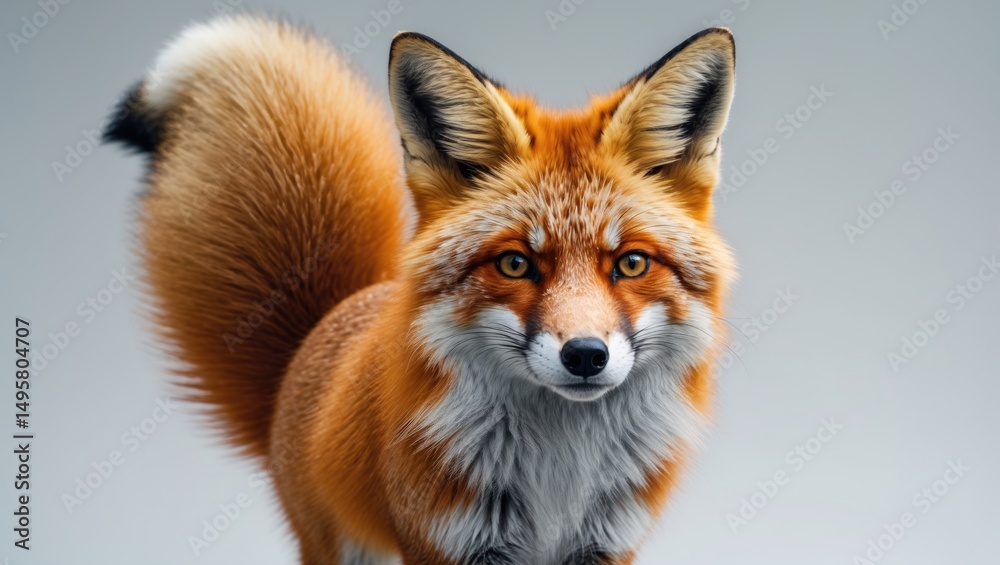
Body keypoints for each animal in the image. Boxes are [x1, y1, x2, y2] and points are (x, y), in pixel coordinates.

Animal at [105, 14, 737, 565]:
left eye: (631, 263)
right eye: (514, 263)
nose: (584, 355)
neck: (557, 477)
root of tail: (320, 331)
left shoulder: (606, 544)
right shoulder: (447, 540)